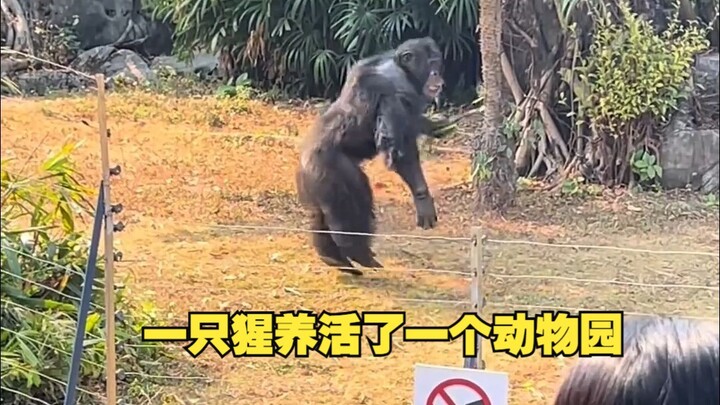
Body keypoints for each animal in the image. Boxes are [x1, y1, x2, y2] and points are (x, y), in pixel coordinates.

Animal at [295, 37, 445, 276]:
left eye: (437, 61)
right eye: (430, 63)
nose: (436, 74)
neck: (402, 70)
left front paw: (436, 124)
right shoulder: (392, 92)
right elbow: (398, 148)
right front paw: (423, 201)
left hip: (312, 183)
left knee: (318, 215)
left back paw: (334, 258)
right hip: (332, 172)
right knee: (352, 204)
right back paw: (358, 252)